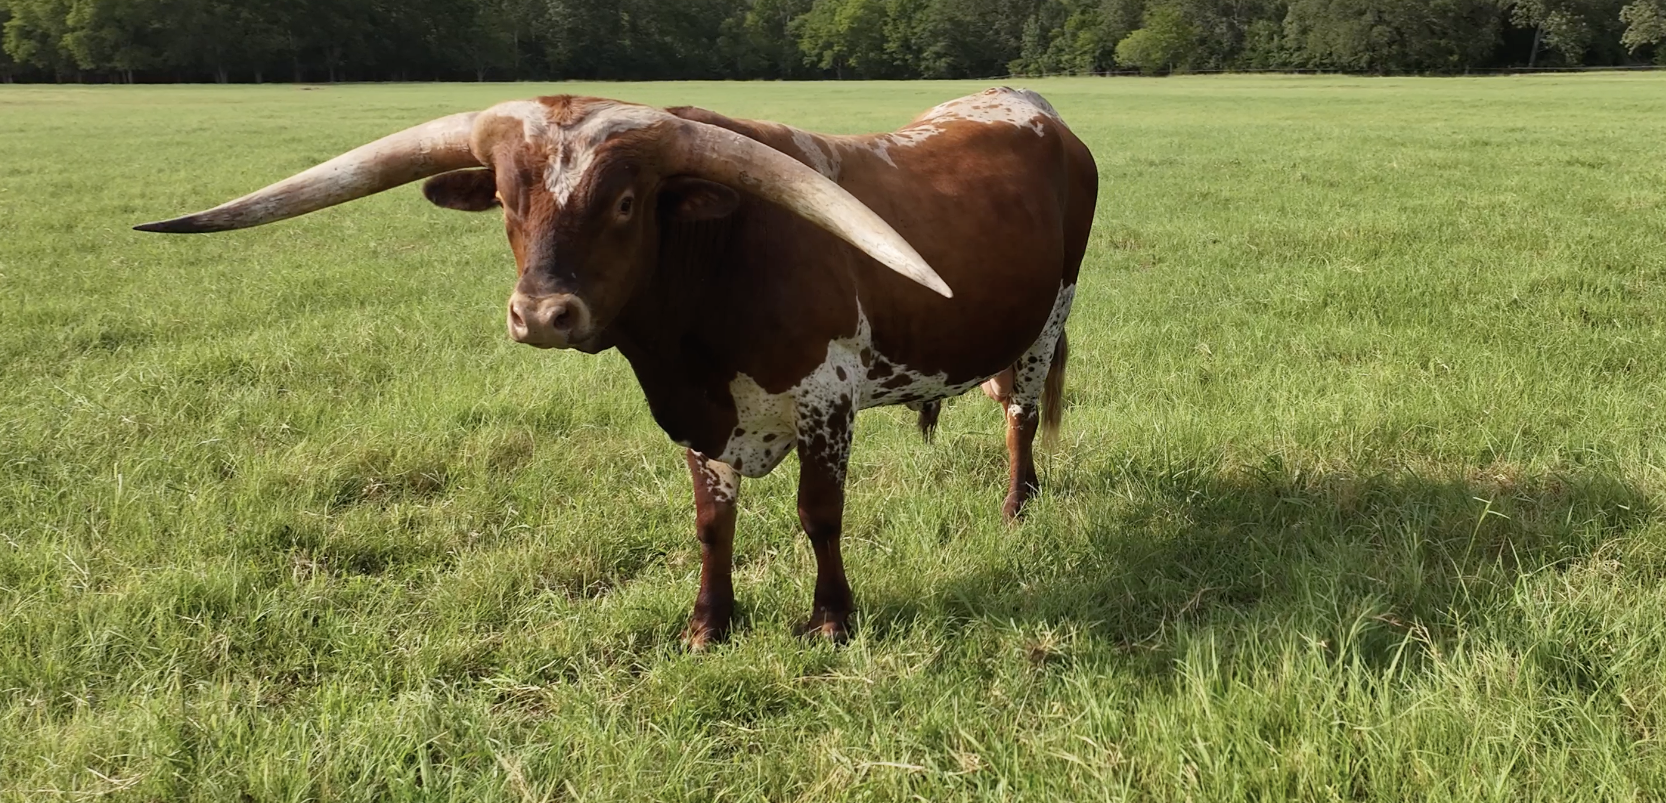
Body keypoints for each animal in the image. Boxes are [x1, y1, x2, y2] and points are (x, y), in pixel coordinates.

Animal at [137, 87, 1099, 646]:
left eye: (629, 201)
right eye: (505, 197)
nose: (542, 315)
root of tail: (1027, 104)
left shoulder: (828, 399)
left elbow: (819, 514)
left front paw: (830, 620)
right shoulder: (699, 416)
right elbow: (712, 524)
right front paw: (710, 624)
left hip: (1050, 317)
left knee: (1019, 414)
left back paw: (1018, 507)